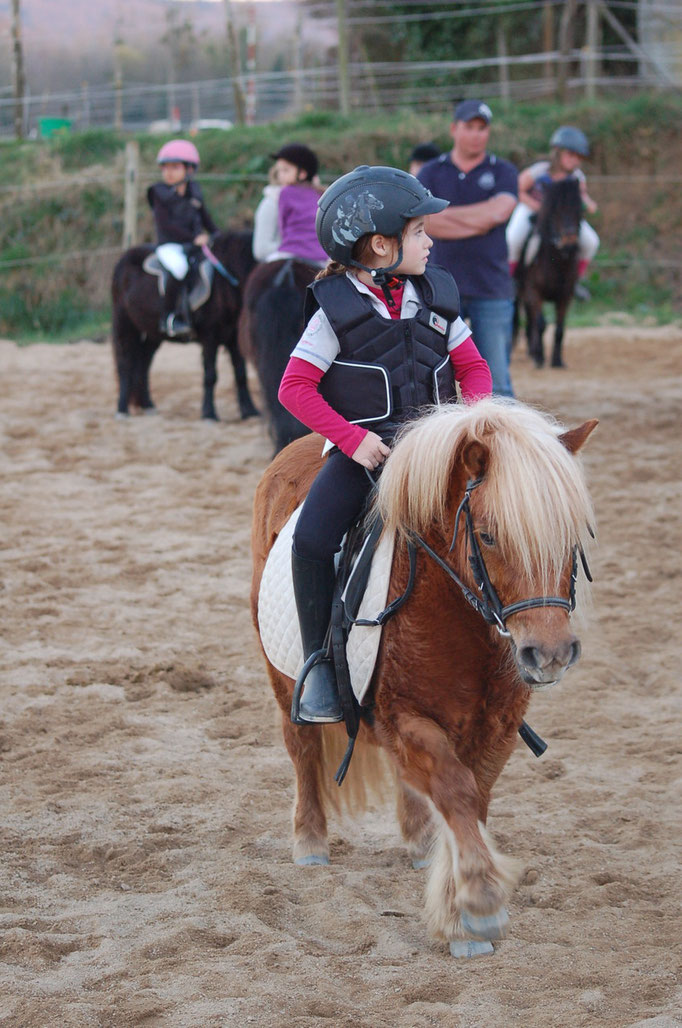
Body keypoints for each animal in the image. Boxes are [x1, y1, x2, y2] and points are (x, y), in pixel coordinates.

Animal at [112, 233, 261, 421]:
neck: (227, 281)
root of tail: (124, 257)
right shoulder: (210, 336)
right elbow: (210, 375)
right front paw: (209, 413)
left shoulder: (233, 338)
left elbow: (241, 374)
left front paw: (250, 411)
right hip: (125, 324)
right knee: (125, 363)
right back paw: (122, 409)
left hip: (153, 333)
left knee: (144, 364)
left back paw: (148, 405)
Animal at [250, 398, 596, 953]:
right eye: (488, 536)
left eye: (570, 535)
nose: (549, 654)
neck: (458, 615)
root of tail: (297, 446)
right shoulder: (403, 717)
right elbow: (455, 791)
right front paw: (478, 904)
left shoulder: (497, 727)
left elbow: (472, 799)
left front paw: (458, 905)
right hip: (283, 678)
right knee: (302, 747)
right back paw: (309, 841)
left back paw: (418, 841)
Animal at [514, 177, 584, 370]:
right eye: (556, 211)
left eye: (579, 209)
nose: (569, 244)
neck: (557, 262)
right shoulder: (534, 291)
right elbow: (541, 324)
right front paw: (540, 358)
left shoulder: (565, 295)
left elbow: (560, 329)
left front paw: (557, 360)